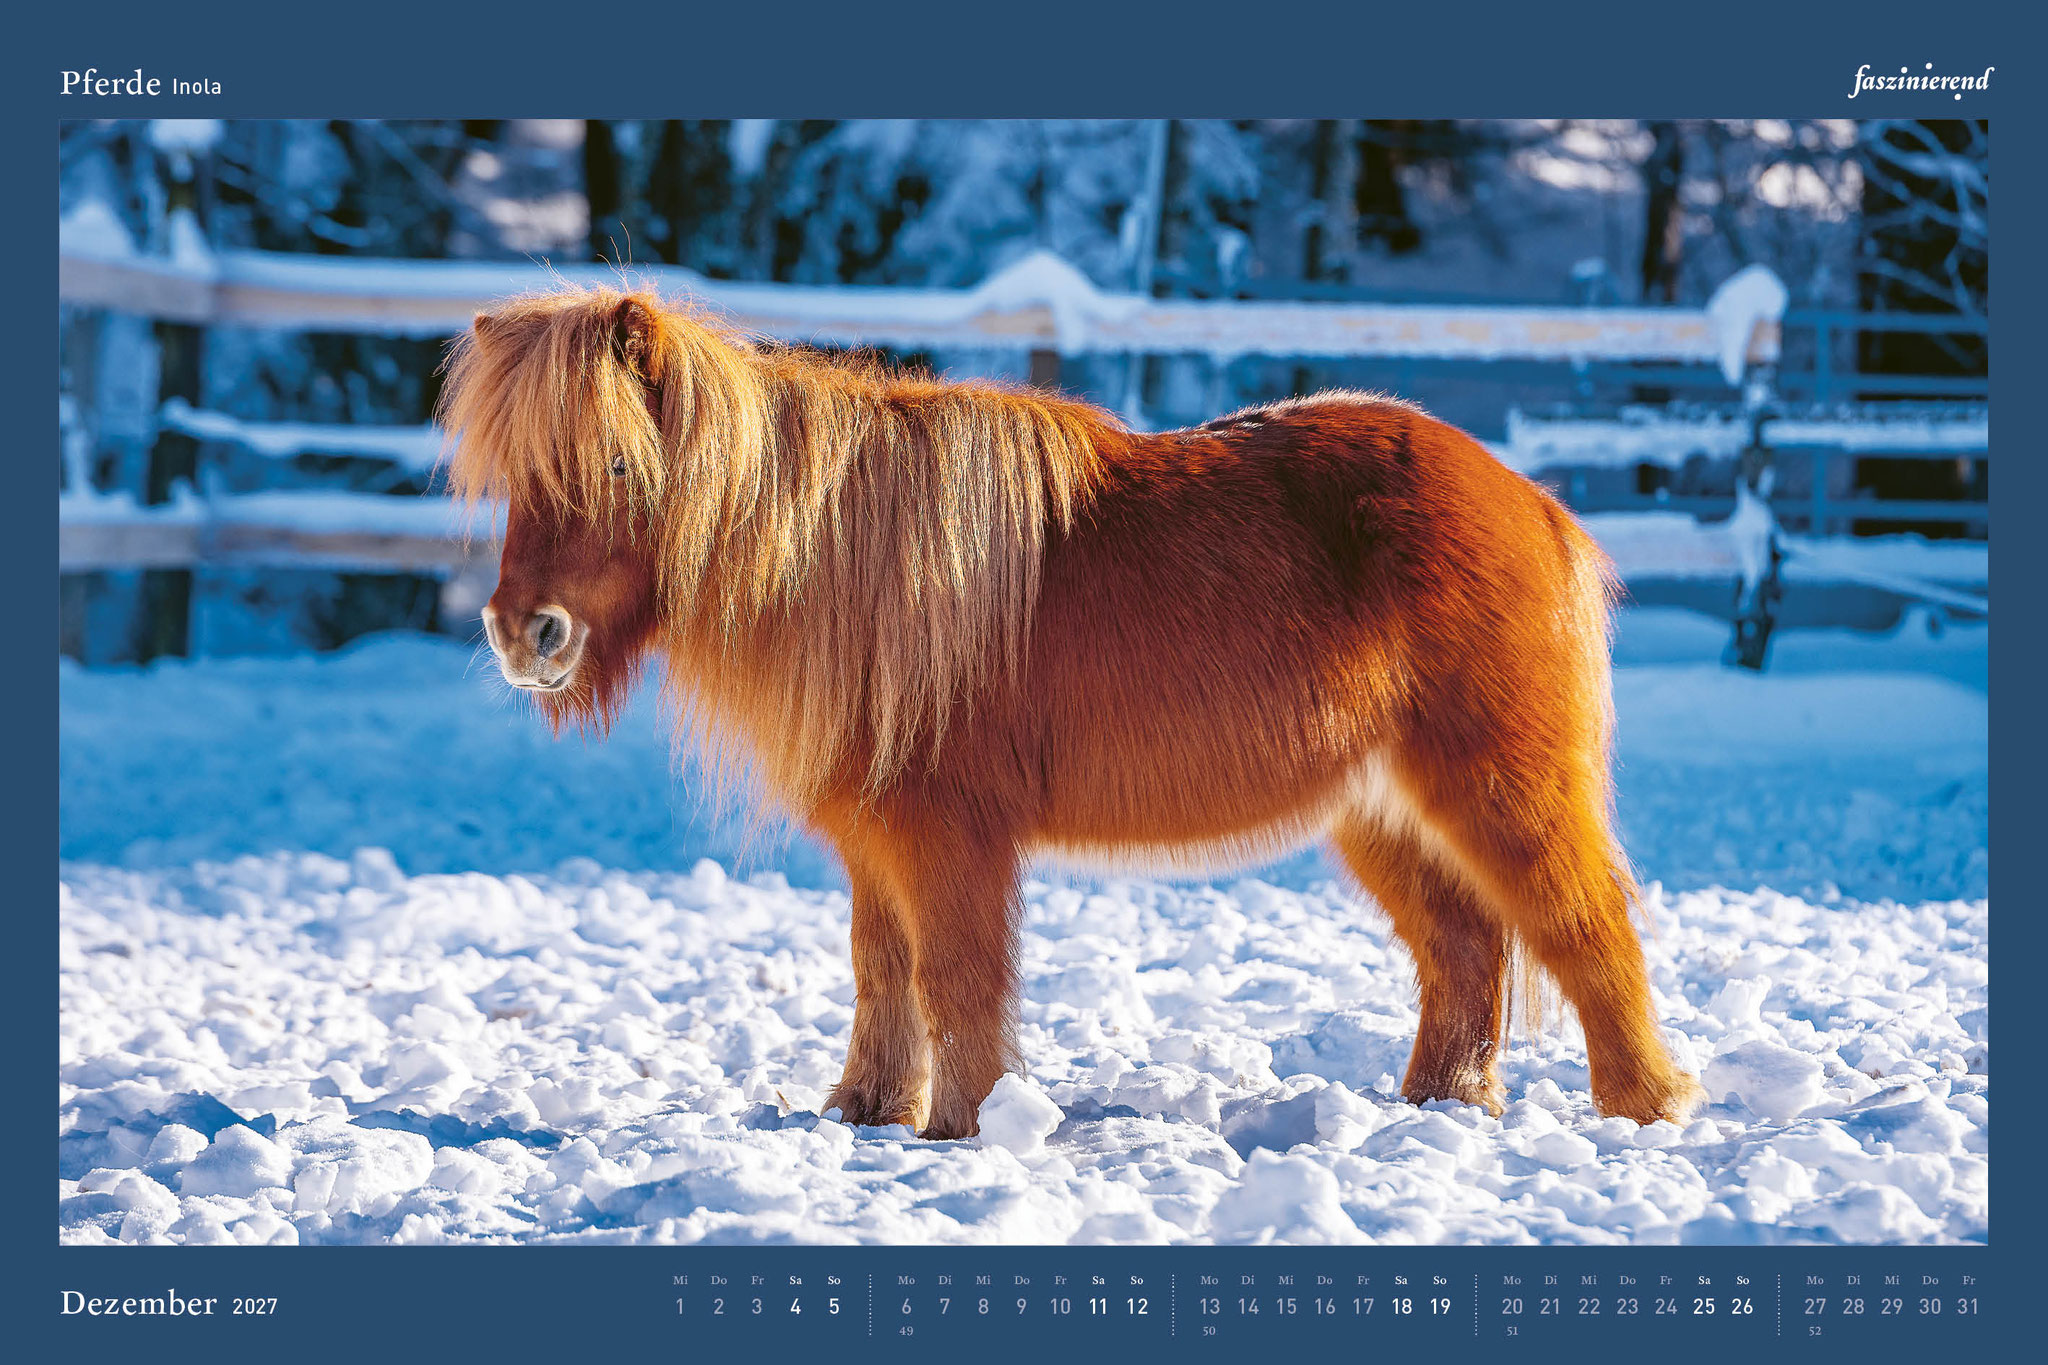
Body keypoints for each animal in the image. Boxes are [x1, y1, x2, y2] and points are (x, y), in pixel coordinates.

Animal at [439, 283, 1704, 1140]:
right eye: (511, 476)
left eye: (614, 467)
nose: (522, 634)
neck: (843, 558)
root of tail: (1530, 502)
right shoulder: (874, 843)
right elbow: (881, 971)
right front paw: (864, 1112)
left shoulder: (948, 838)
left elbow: (956, 977)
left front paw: (962, 1127)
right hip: (1381, 811)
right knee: (1463, 948)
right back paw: (1439, 1107)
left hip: (1497, 786)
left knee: (1582, 924)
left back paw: (1641, 1107)